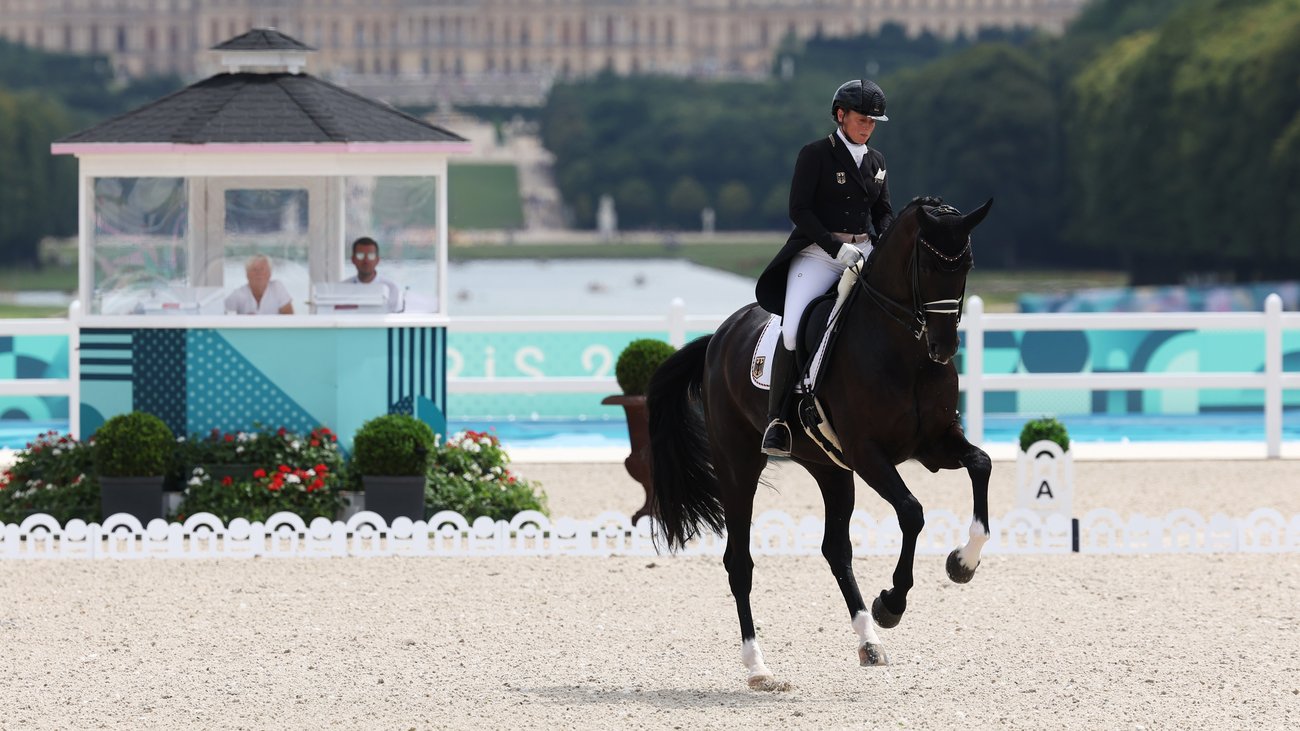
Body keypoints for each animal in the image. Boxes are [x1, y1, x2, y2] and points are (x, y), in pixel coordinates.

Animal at [650, 196, 993, 686]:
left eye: (966, 264)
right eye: (928, 264)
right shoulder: (868, 454)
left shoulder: (934, 444)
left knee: (835, 550)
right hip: (739, 464)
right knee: (739, 561)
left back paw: (869, 641)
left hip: (828, 468)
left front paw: (962, 563)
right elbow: (912, 512)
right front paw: (892, 602)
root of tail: (719, 337)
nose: (943, 348)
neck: (904, 352)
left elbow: (981, 464)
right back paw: (759, 666)